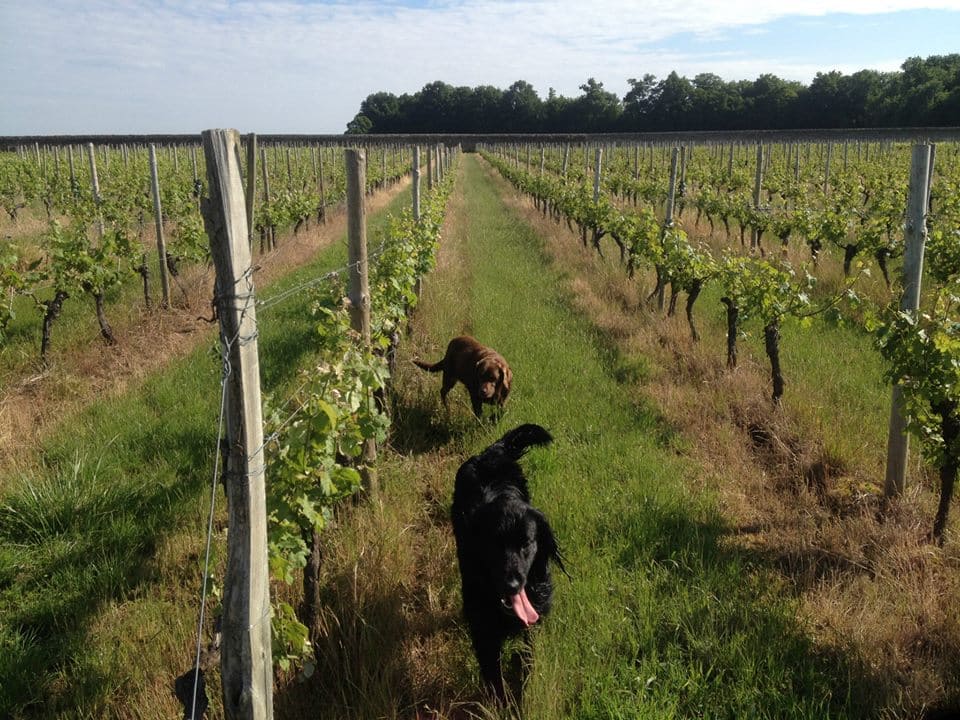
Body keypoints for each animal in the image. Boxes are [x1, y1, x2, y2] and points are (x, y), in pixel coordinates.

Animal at [450, 422, 564, 704]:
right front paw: (503, 705)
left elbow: (526, 659)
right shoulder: (483, 628)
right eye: (493, 545)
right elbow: (494, 677)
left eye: (527, 543)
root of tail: (490, 452)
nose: (512, 585)